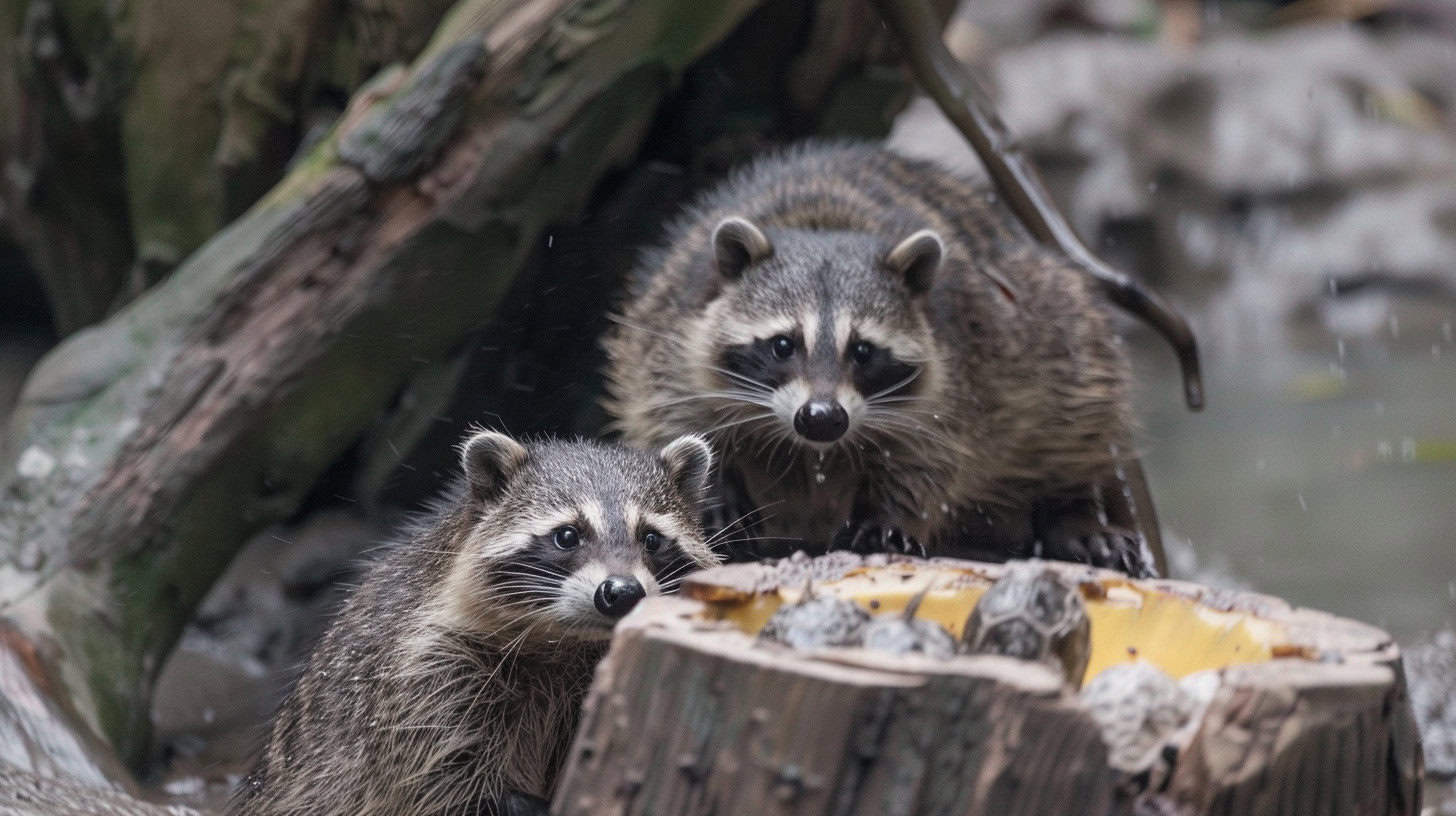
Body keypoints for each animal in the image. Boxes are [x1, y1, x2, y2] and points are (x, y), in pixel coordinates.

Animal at [230, 431, 718, 816]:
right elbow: (443, 786)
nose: (622, 593)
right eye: (567, 536)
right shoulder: (427, 673)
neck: (563, 641)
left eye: (651, 539)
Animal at [603, 142, 1164, 577]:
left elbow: (929, 457)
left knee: (1074, 410)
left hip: (1054, 319)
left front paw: (890, 517)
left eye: (863, 351)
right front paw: (716, 491)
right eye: (784, 344)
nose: (822, 418)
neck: (822, 226)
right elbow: (673, 413)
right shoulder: (670, 334)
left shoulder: (960, 373)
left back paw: (1075, 512)